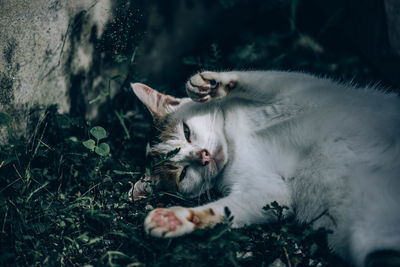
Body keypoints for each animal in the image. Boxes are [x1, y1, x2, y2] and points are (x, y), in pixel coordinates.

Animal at [131, 70, 400, 266]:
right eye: (183, 173)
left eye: (187, 132)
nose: (203, 156)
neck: (235, 143)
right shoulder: (269, 192)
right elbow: (226, 209)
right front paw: (175, 219)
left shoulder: (299, 92)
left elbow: (265, 80)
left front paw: (213, 84)